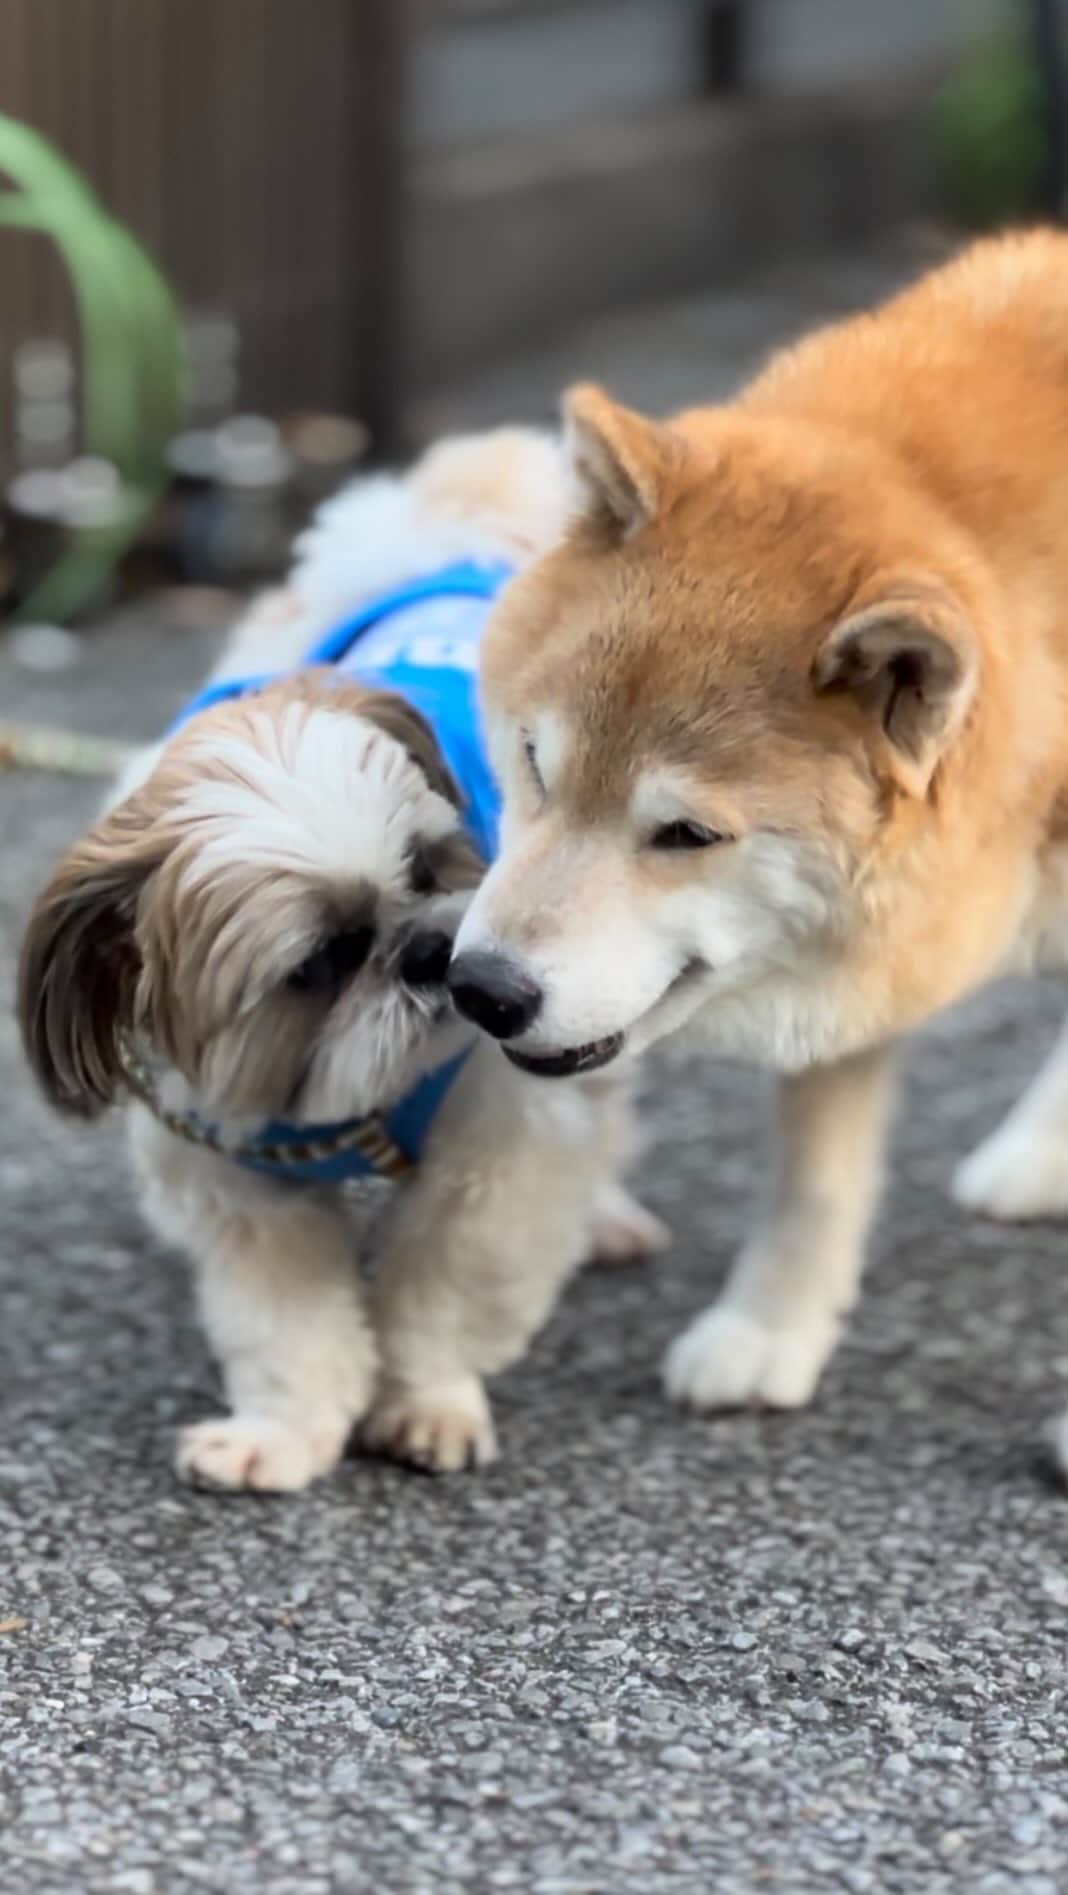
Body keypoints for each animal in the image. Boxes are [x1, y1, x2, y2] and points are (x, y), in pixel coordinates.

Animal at [20, 433, 662, 1493]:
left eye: (430, 868)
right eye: (321, 961)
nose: (435, 951)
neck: (345, 1108)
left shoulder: (499, 1151)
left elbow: (447, 1284)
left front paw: (427, 1402)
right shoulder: (240, 1184)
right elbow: (288, 1329)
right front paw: (281, 1433)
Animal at [448, 229, 1068, 1455]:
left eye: (687, 833)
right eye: (537, 761)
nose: (482, 988)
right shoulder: (870, 962)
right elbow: (816, 1179)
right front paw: (771, 1329)